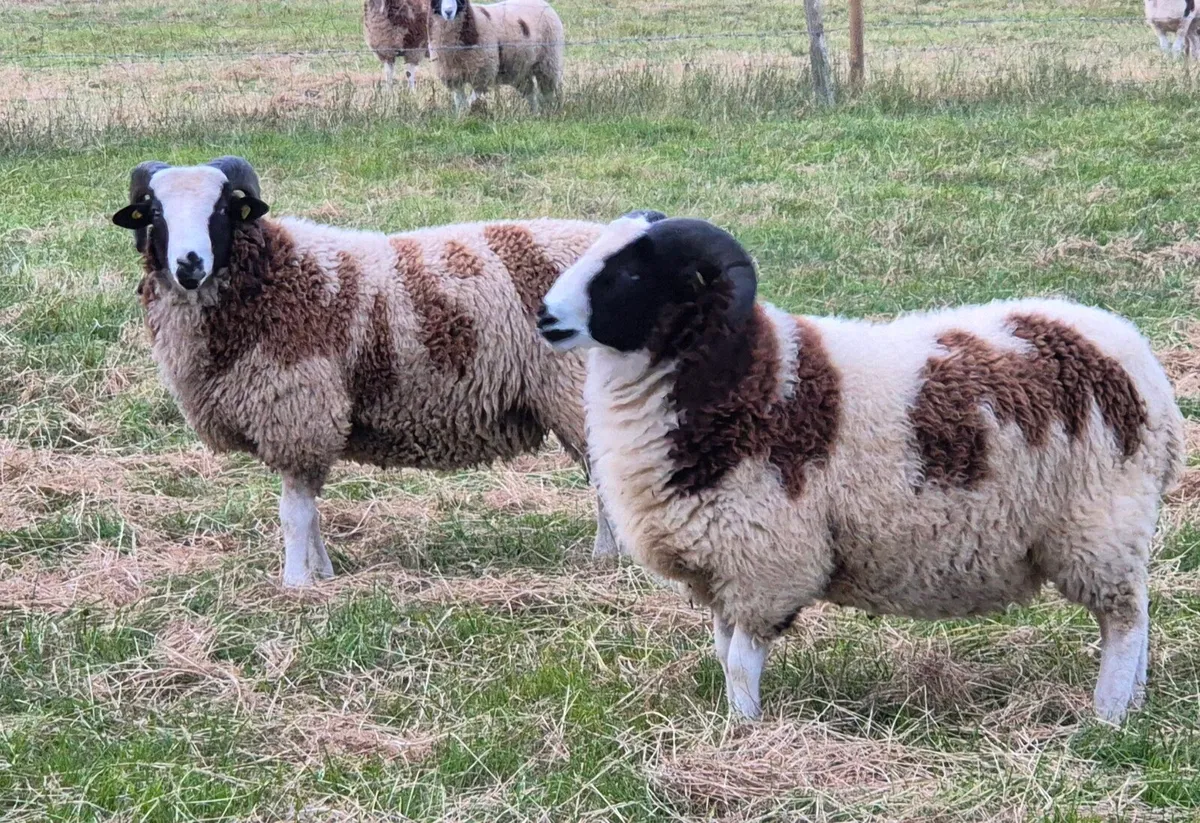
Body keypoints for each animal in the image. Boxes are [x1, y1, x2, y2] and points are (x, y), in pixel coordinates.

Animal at [109, 156, 622, 588]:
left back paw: (612, 557)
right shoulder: (304, 425)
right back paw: (607, 558)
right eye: (155, 213)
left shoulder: (300, 413)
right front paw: (323, 574)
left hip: (575, 390)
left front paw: (295, 584)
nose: (189, 263)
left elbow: (293, 513)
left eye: (221, 209)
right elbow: (312, 512)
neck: (273, 277)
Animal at [428, 0, 563, 113]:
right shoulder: (453, 76)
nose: (448, 12)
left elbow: (472, 100)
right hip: (520, 67)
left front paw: (469, 113)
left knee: (548, 90)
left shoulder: (483, 73)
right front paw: (461, 117)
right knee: (529, 89)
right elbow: (460, 102)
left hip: (548, 61)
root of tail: (544, 3)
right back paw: (535, 113)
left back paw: (549, 111)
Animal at [537, 212, 1185, 724]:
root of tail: (1135, 356)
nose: (545, 317)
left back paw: (1105, 717)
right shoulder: (722, 566)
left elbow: (742, 664)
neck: (746, 377)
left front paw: (742, 732)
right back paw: (1134, 706)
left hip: (1100, 524)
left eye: (632, 273)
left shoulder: (768, 561)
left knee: (1124, 622)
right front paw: (733, 725)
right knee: (1139, 615)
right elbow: (723, 654)